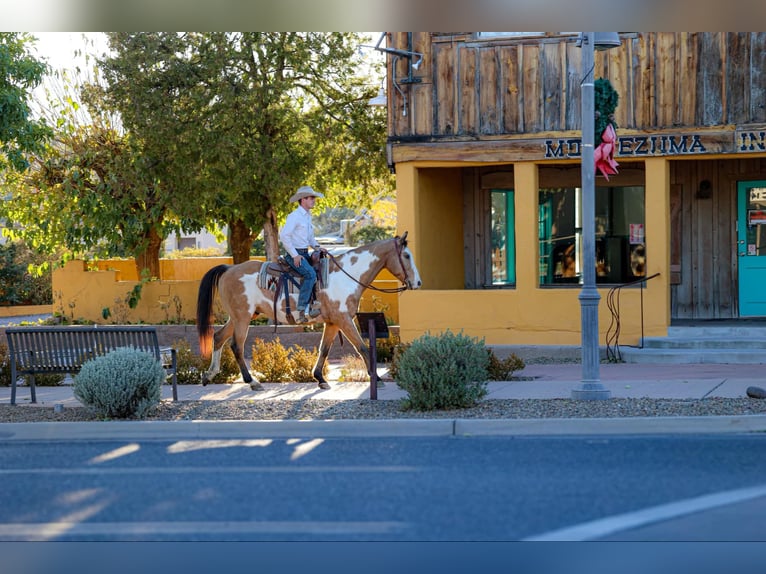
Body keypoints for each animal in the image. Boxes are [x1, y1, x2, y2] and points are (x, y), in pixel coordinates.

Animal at [198, 233, 424, 392]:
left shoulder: (333, 322)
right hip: (242, 318)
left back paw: (209, 375)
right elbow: (362, 347)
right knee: (236, 345)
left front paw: (320, 379)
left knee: (218, 337)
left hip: (239, 317)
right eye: (406, 255)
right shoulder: (344, 320)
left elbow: (324, 349)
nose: (418, 283)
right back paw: (252, 382)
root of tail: (228, 269)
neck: (345, 276)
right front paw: (376, 378)